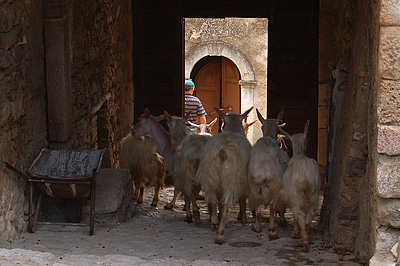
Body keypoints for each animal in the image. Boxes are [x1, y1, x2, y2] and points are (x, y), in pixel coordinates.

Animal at [195, 105, 252, 243]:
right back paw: (220, 233)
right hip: (231, 178)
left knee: (213, 199)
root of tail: (222, 151)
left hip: (210, 176)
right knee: (226, 201)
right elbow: (242, 200)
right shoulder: (243, 180)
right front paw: (243, 219)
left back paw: (214, 221)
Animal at [245, 108, 290, 239]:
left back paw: (257, 227)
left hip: (253, 186)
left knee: (258, 207)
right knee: (272, 206)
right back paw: (272, 231)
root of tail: (262, 172)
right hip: (275, 186)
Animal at [280, 120, 320, 251]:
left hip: (296, 194)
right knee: (310, 213)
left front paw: (295, 232)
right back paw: (305, 237)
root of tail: (306, 175)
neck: (298, 154)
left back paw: (303, 240)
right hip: (314, 193)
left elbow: (294, 215)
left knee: (300, 213)